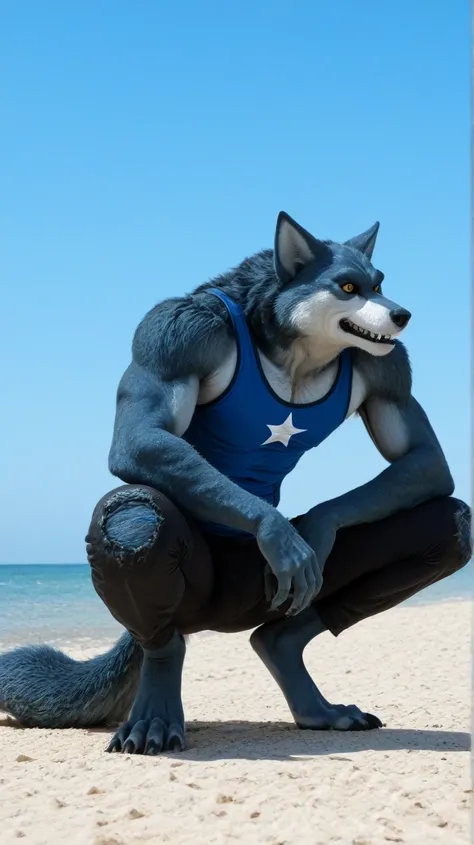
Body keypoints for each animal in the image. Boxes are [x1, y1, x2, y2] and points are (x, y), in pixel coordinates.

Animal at [0, 212, 470, 754]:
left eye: (380, 284)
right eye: (349, 287)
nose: (402, 315)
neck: (292, 350)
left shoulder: (388, 367)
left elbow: (423, 458)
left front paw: (314, 529)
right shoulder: (176, 334)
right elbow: (140, 438)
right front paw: (279, 533)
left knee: (449, 521)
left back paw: (297, 674)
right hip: (183, 588)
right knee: (134, 520)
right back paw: (156, 710)